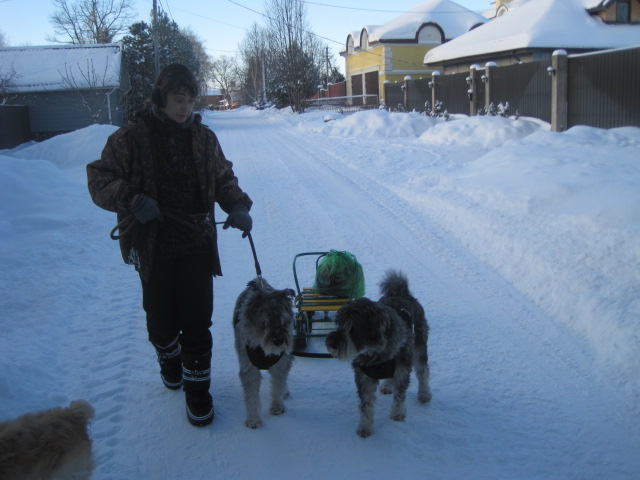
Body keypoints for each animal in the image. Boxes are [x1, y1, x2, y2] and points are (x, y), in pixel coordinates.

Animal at [233, 277, 296, 428]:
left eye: (284, 320)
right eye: (264, 322)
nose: (278, 340)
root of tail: (259, 279)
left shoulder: (281, 363)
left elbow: (278, 385)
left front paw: (277, 407)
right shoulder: (248, 368)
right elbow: (251, 396)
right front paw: (253, 420)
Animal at [326, 269, 431, 438]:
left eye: (353, 328)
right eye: (339, 323)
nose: (331, 344)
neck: (376, 352)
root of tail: (403, 293)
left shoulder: (402, 370)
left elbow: (400, 396)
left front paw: (397, 416)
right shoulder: (364, 376)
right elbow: (366, 405)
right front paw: (365, 427)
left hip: (419, 347)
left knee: (423, 371)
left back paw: (424, 393)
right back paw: (387, 385)